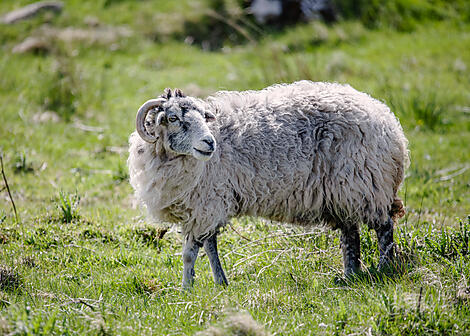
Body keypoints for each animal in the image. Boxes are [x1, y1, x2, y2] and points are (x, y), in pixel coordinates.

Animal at [127, 80, 408, 288]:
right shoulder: (205, 207)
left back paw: (383, 268)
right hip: (345, 191)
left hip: (366, 184)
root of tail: (388, 121)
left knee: (384, 228)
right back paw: (349, 274)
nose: (209, 143)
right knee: (350, 234)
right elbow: (209, 247)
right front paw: (220, 283)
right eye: (173, 118)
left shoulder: (206, 204)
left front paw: (187, 288)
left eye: (204, 118)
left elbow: (190, 252)